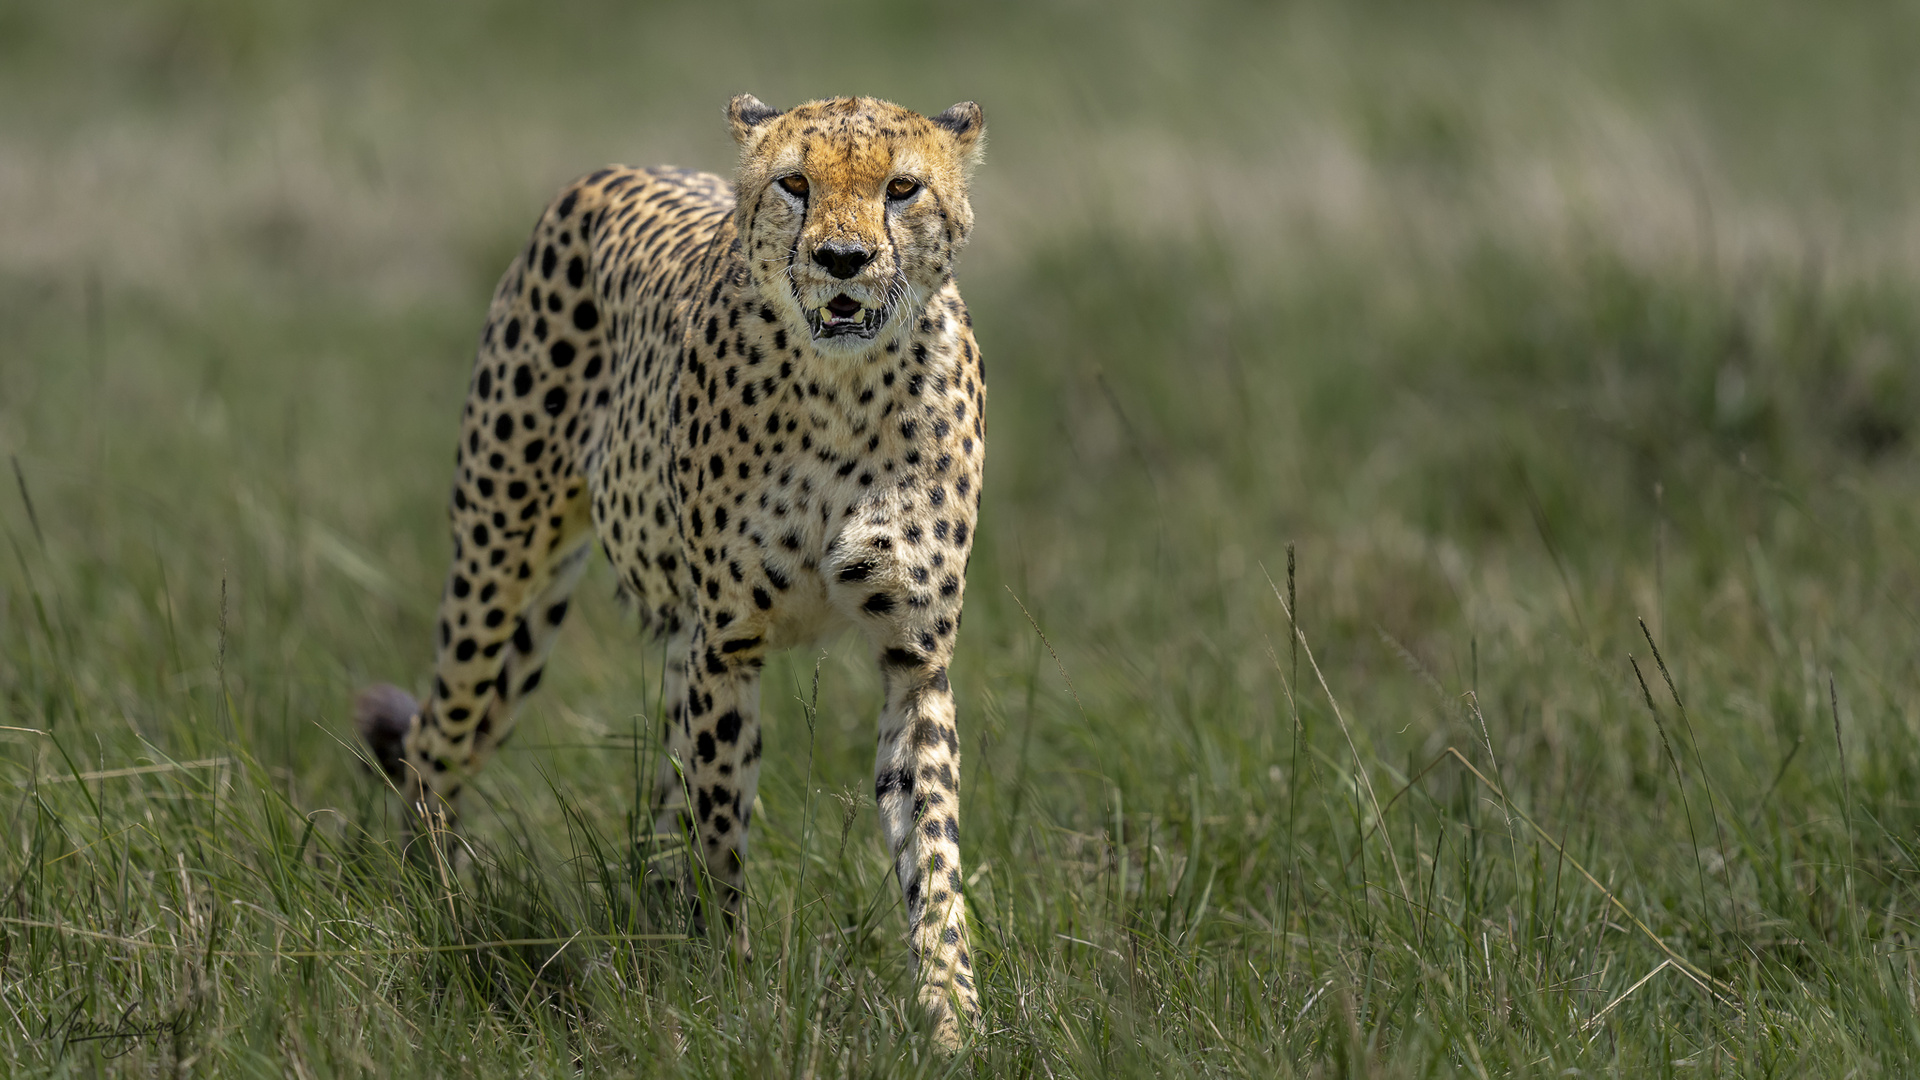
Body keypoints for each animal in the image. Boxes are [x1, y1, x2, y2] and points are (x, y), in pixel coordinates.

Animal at [353, 98, 990, 1045]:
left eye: (901, 188)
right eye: (794, 183)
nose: (842, 260)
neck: (844, 389)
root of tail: (613, 171)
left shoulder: (914, 657)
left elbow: (933, 852)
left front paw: (954, 1021)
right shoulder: (728, 645)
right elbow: (719, 837)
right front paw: (735, 990)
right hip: (500, 590)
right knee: (436, 743)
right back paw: (438, 915)